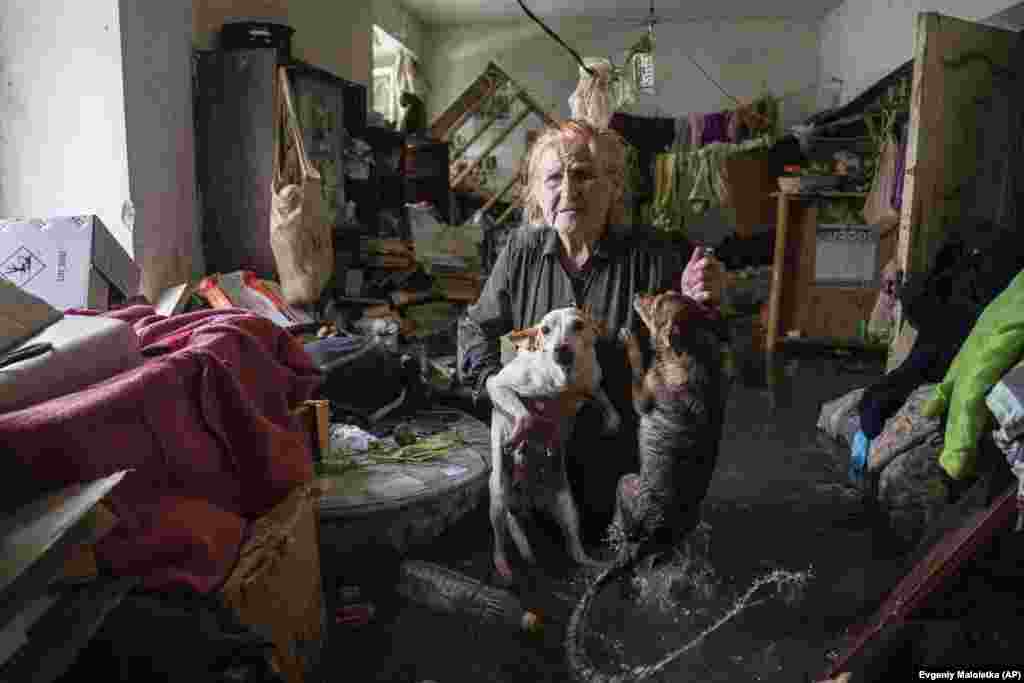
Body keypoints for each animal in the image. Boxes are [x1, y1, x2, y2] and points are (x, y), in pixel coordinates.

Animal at [485, 307, 618, 581]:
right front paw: (518, 434)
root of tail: (529, 499)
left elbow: (602, 397)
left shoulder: (591, 384)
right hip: (499, 500)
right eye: (545, 330)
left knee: (576, 551)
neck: (563, 382)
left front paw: (612, 420)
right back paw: (503, 566)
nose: (561, 349)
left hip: (568, 508)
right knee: (500, 544)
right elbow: (524, 413)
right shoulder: (497, 384)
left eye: (578, 325)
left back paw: (598, 566)